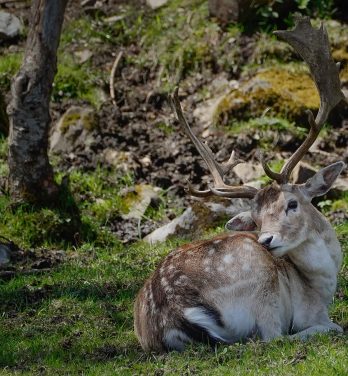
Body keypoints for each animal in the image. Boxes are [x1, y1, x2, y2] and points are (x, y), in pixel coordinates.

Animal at [133, 16, 346, 352]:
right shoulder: (303, 308)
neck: (322, 284)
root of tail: (173, 312)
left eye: (292, 204)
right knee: (271, 338)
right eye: (256, 220)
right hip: (260, 281)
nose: (266, 240)